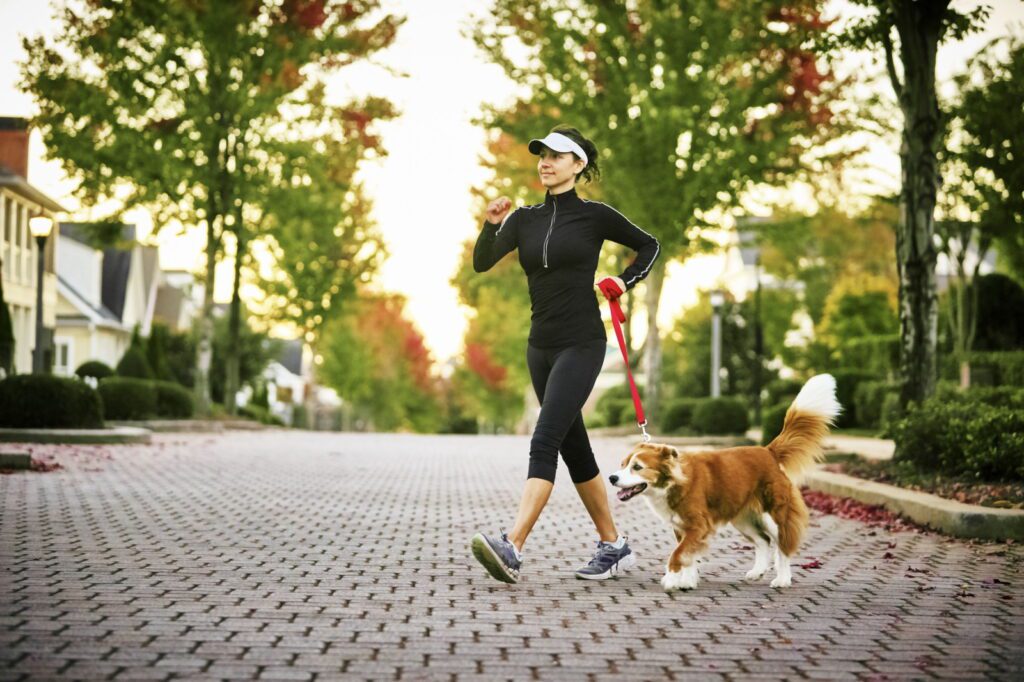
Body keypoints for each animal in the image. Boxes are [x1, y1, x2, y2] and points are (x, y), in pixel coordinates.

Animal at [606, 374, 839, 585]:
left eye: (637, 467)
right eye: (623, 464)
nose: (612, 478)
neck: (672, 483)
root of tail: (768, 451)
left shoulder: (698, 525)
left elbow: (678, 554)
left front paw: (672, 580)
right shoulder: (682, 527)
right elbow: (688, 556)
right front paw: (687, 582)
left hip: (774, 514)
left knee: (782, 545)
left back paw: (782, 579)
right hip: (743, 517)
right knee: (763, 541)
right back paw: (757, 572)